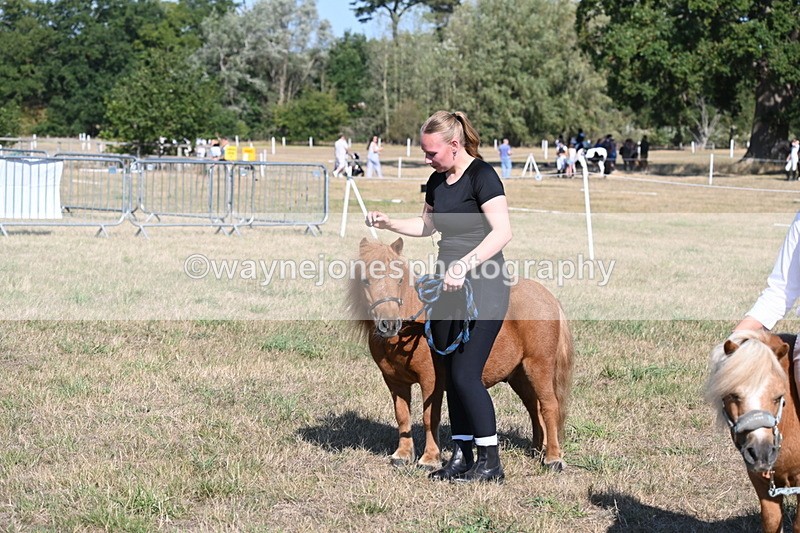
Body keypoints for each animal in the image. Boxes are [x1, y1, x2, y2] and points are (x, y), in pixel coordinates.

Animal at [348, 237, 574, 472]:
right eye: (365, 281)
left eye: (400, 279)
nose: (389, 324)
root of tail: (548, 298)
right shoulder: (395, 381)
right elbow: (402, 416)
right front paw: (402, 455)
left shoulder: (431, 380)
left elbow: (430, 417)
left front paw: (429, 459)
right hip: (520, 375)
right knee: (534, 408)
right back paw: (538, 449)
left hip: (538, 366)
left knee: (549, 406)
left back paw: (553, 458)